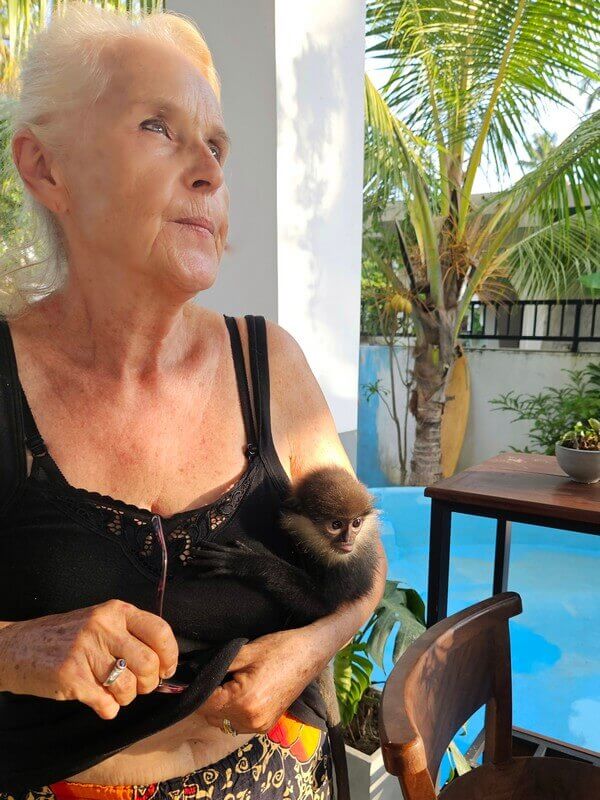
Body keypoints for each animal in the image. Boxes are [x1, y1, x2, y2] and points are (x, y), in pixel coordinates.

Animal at [185, 465, 382, 800]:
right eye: (335, 525)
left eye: (356, 523)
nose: (348, 539)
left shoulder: (349, 569)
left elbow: (319, 605)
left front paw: (249, 562)